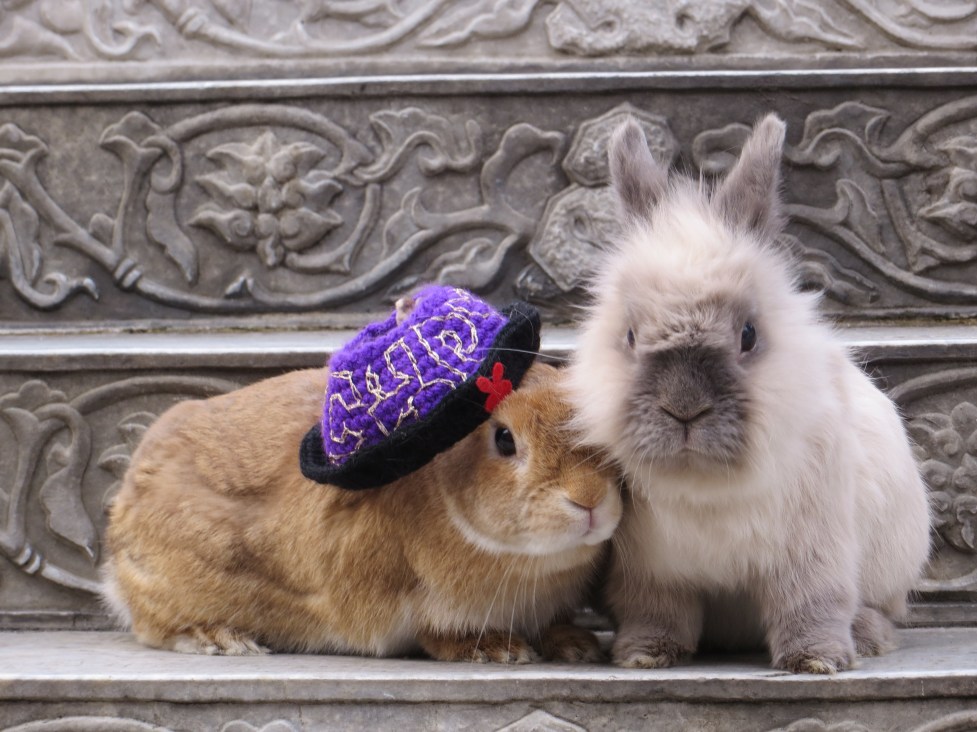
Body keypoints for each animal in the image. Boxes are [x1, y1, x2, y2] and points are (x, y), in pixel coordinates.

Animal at [102, 361, 622, 662]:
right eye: (504, 439)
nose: (589, 498)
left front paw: (576, 646)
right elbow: (434, 634)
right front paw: (499, 651)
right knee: (154, 628)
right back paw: (223, 640)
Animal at [567, 113, 931, 674]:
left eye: (748, 335)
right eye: (629, 336)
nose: (684, 408)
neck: (704, 482)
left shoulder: (812, 552)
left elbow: (812, 603)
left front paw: (817, 661)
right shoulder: (649, 571)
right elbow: (656, 612)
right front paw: (644, 655)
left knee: (876, 608)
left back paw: (867, 637)